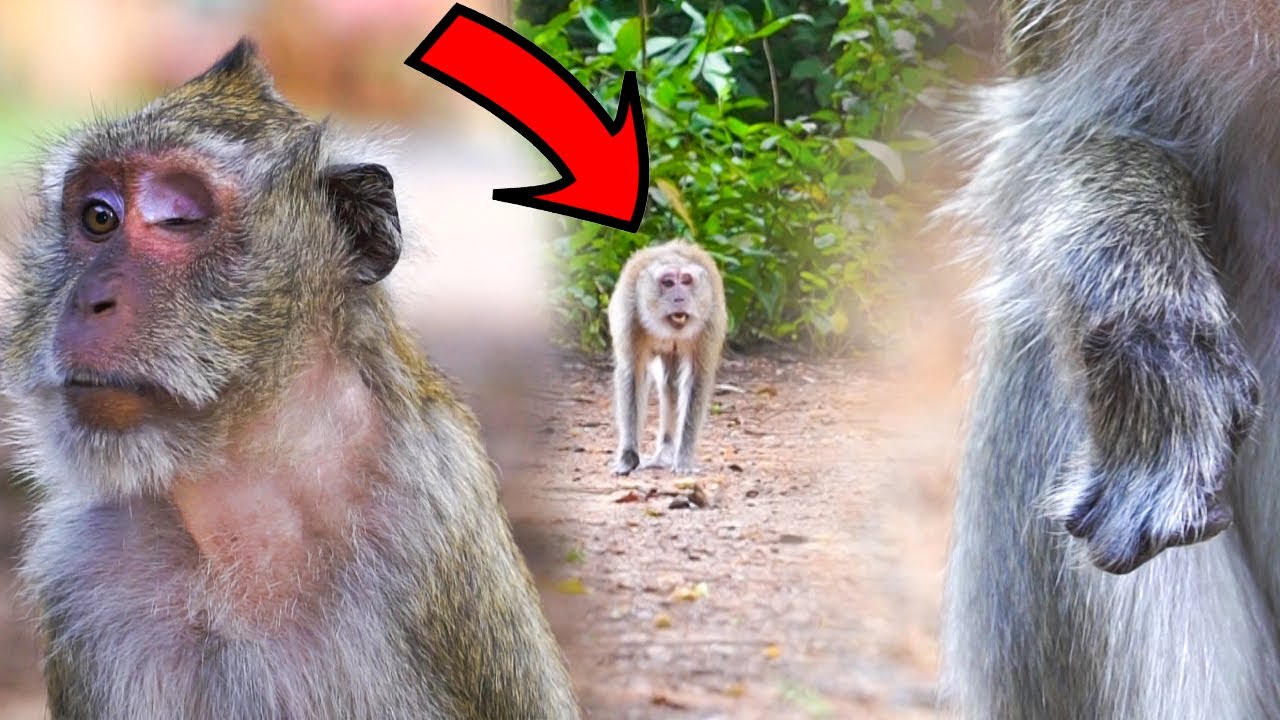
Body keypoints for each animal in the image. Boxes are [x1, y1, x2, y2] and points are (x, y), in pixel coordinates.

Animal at [4, 39, 582, 720]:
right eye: (98, 217)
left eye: (178, 218)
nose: (89, 299)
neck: (250, 502)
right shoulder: (83, 574)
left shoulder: (432, 525)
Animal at [608, 240, 726, 476]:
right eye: (668, 283)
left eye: (686, 281)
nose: (679, 298)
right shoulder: (629, 312)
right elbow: (632, 374)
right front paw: (628, 456)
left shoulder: (711, 317)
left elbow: (698, 379)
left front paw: (684, 458)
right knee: (666, 383)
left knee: (671, 384)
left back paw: (668, 449)